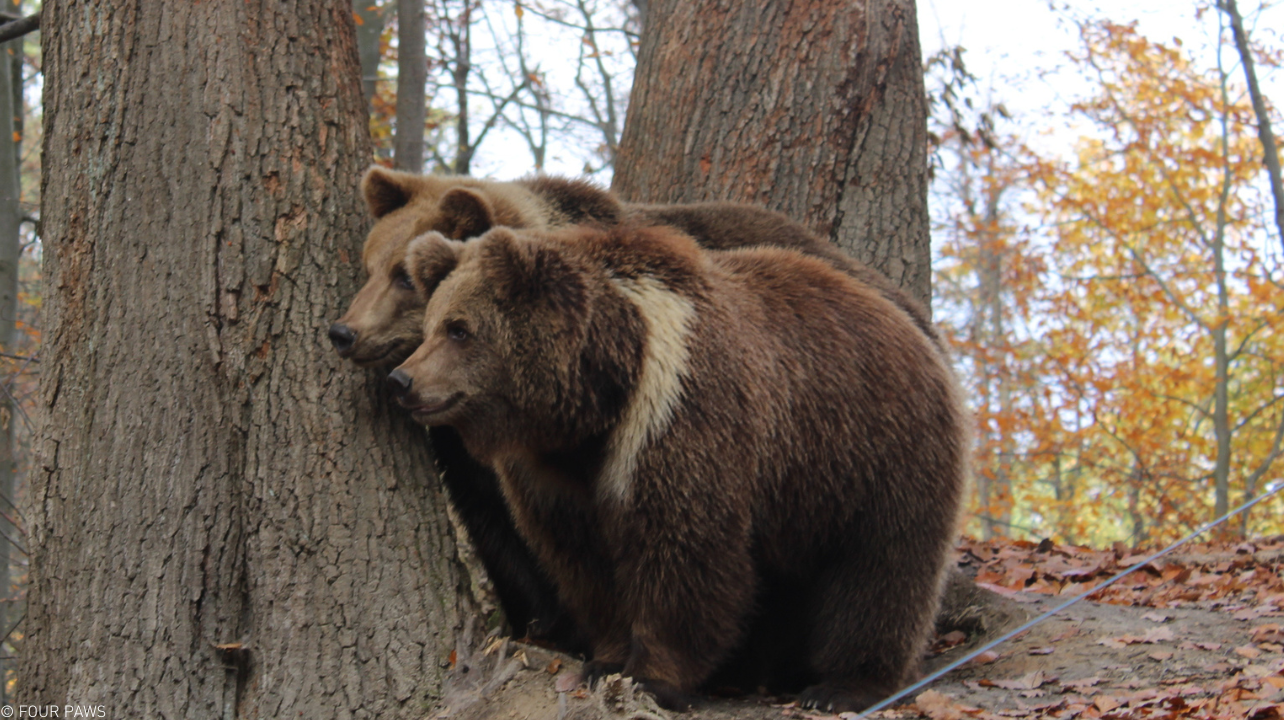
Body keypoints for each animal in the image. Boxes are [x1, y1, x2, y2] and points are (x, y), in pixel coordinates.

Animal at [390, 223, 970, 708]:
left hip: (874, 450)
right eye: (433, 324)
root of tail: (914, 325)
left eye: (460, 329)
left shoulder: (680, 414)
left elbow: (681, 552)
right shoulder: (555, 473)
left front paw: (655, 676)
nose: (403, 380)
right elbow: (583, 560)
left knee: (883, 566)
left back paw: (843, 685)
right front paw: (605, 659)